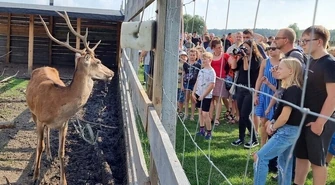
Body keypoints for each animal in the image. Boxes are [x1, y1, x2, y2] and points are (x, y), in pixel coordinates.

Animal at [25, 11, 114, 185]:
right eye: (98, 61)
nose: (112, 72)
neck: (58, 104)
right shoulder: (40, 119)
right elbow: (39, 146)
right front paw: (35, 176)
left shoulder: (64, 124)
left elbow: (62, 152)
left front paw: (63, 180)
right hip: (32, 112)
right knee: (40, 140)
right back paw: (35, 165)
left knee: (47, 134)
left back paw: (49, 155)